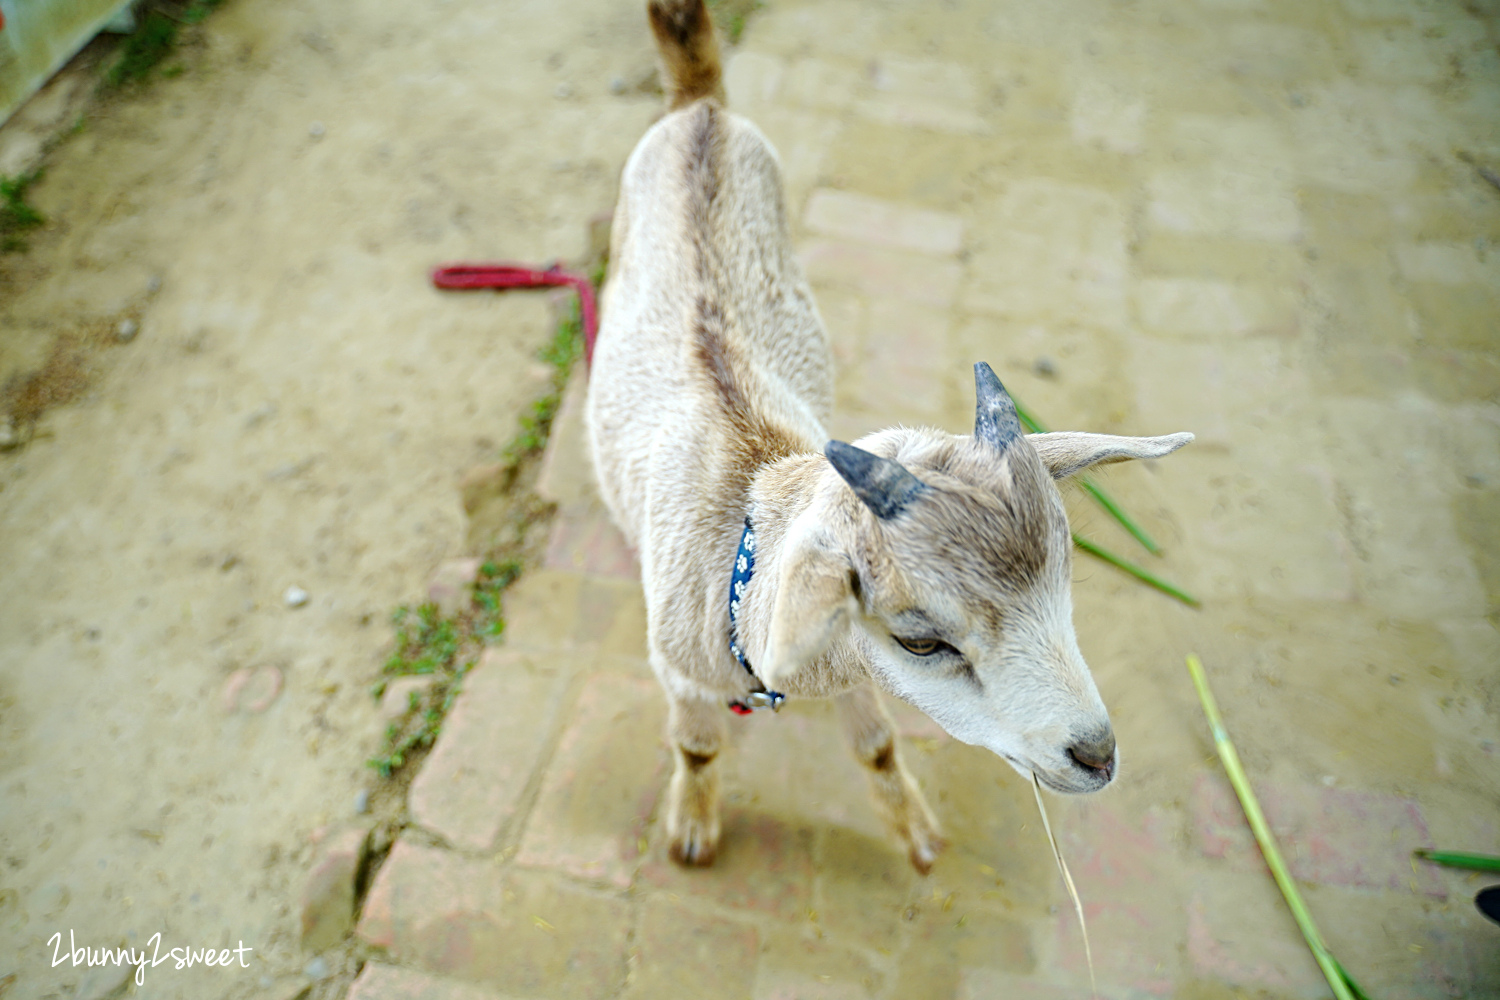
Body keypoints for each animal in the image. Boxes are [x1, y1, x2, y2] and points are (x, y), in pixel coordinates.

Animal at [585, 0, 1194, 869]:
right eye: (921, 640)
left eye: (1069, 580)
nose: (1096, 756)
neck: (743, 523)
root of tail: (699, 107)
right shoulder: (684, 673)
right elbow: (697, 747)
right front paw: (694, 829)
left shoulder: (847, 666)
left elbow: (873, 745)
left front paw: (915, 833)